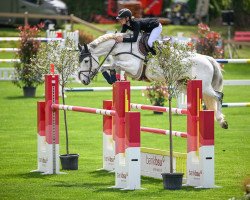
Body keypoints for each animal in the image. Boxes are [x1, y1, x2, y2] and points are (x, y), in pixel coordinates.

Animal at [78, 33, 229, 129]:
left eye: (85, 61)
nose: (83, 80)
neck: (121, 47)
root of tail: (207, 59)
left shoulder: (133, 68)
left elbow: (110, 65)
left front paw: (107, 75)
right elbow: (110, 66)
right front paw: (112, 78)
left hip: (204, 86)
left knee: (219, 96)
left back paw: (222, 121)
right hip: (186, 84)